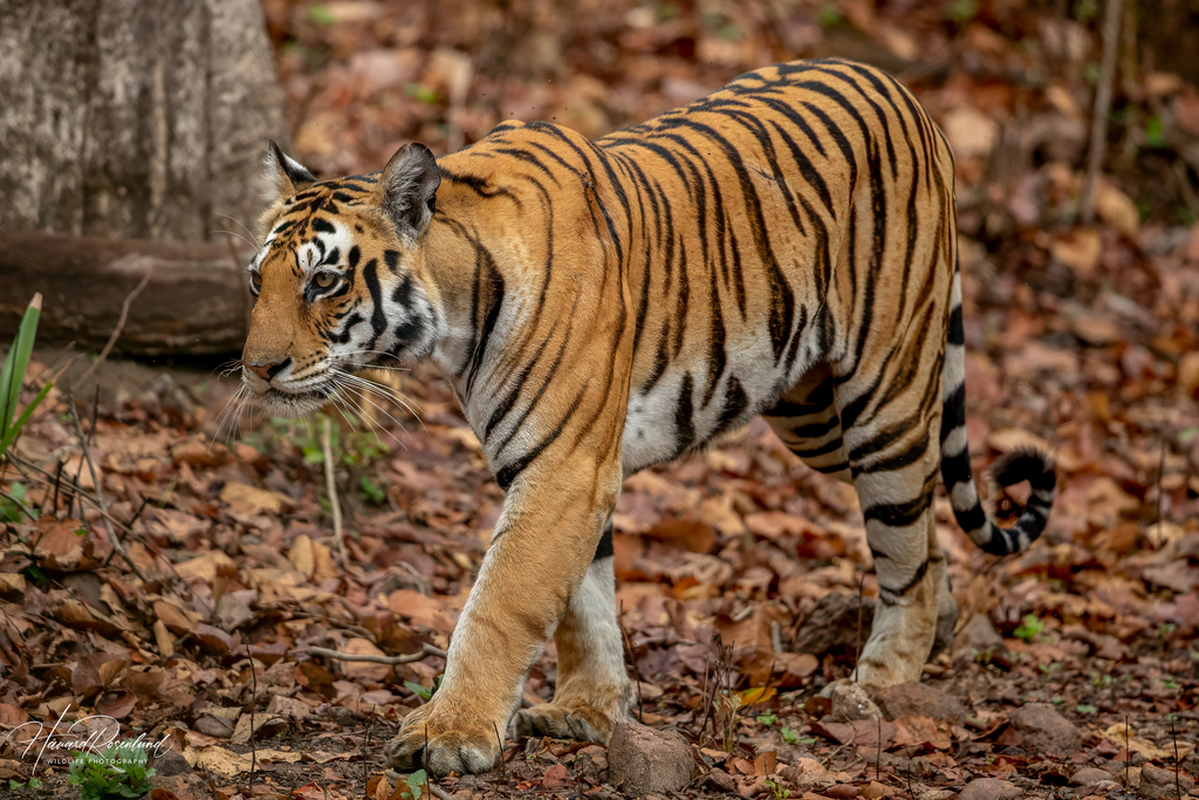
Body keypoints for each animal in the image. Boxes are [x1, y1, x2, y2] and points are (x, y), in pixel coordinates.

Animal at [238, 57, 1055, 777]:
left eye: (323, 282)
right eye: (257, 281)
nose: (255, 368)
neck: (456, 313)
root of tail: (904, 92)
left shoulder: (563, 467)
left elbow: (501, 604)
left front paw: (451, 732)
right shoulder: (560, 463)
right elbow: (583, 603)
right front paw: (589, 710)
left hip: (883, 396)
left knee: (905, 537)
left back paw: (883, 684)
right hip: (814, 415)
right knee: (923, 528)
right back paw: (932, 637)